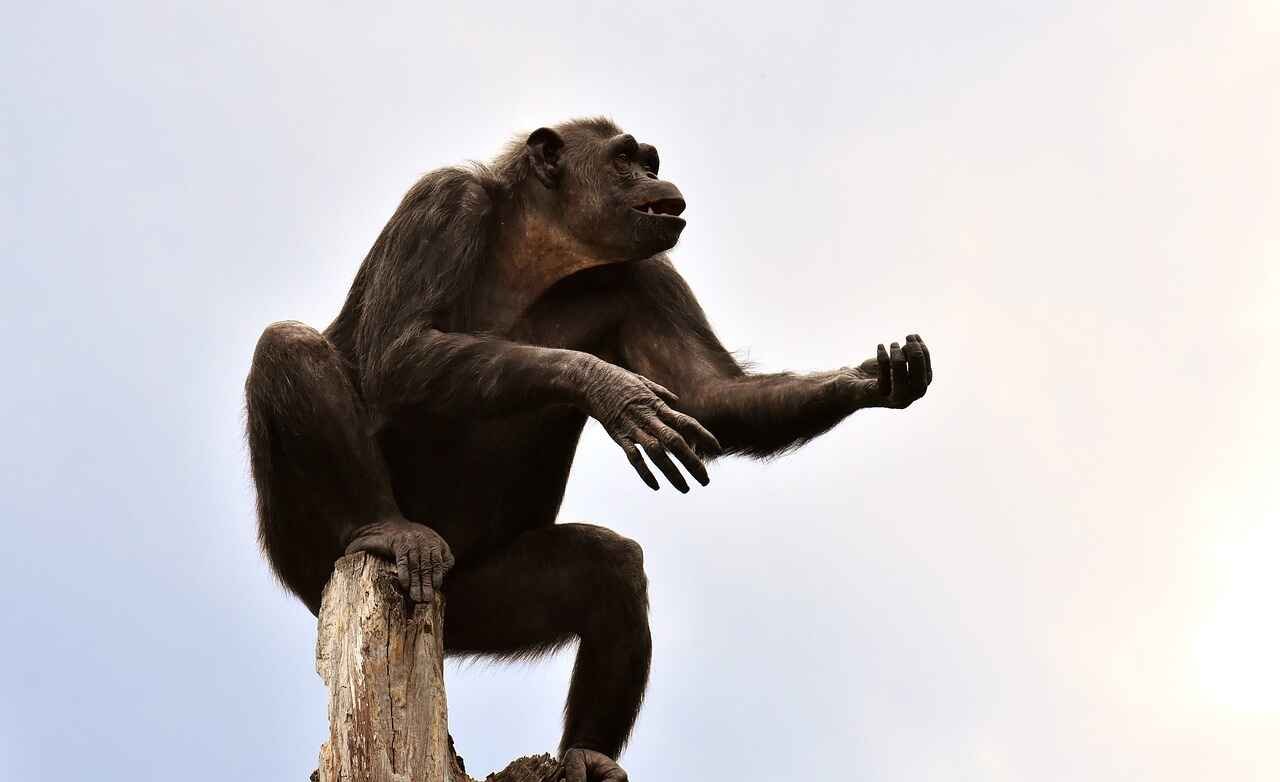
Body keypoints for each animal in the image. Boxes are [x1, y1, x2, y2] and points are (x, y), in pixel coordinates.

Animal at [245, 117, 932, 782]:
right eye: (626, 159)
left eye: (650, 162)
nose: (655, 178)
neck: (536, 246)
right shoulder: (439, 205)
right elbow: (400, 347)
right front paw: (611, 389)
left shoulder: (649, 278)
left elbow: (705, 394)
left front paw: (869, 379)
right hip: (314, 558)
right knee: (289, 346)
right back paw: (387, 527)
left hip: (478, 601)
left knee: (610, 569)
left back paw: (588, 754)